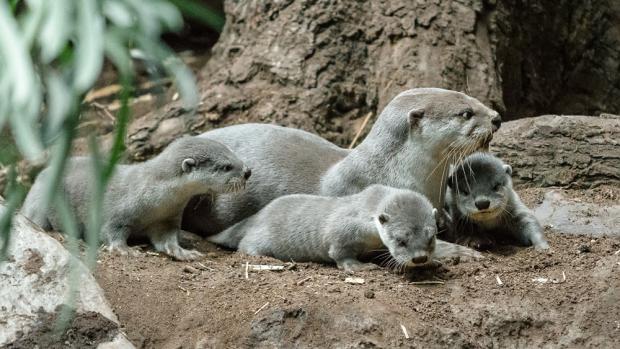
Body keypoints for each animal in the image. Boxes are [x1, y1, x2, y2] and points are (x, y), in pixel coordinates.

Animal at [21, 136, 251, 258]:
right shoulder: (117, 212)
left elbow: (166, 239)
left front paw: (183, 252)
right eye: (226, 166)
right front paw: (126, 250)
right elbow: (111, 232)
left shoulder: (166, 220)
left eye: (233, 154)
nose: (247, 171)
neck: (156, 200)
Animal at [208, 185, 480, 272]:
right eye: (400, 240)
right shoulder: (344, 228)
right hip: (258, 239)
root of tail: (255, 217)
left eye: (431, 238)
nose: (420, 258)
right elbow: (338, 251)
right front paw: (358, 266)